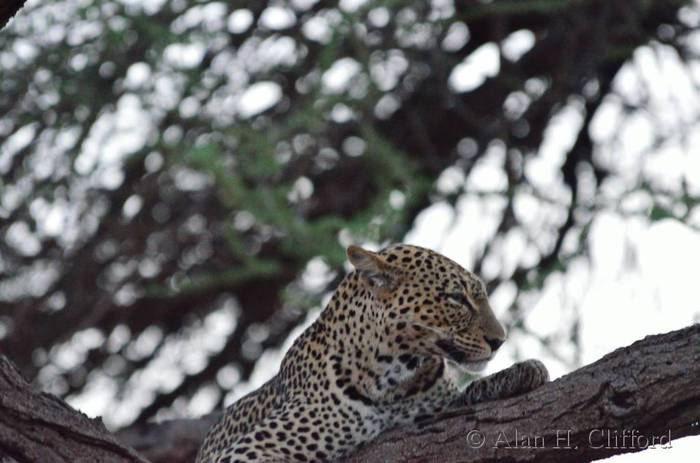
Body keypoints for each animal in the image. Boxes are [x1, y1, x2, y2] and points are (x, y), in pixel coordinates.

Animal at [194, 245, 548, 462]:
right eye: (456, 298)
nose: (499, 340)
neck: (394, 375)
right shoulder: (247, 450)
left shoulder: (434, 404)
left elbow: (470, 390)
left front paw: (525, 370)